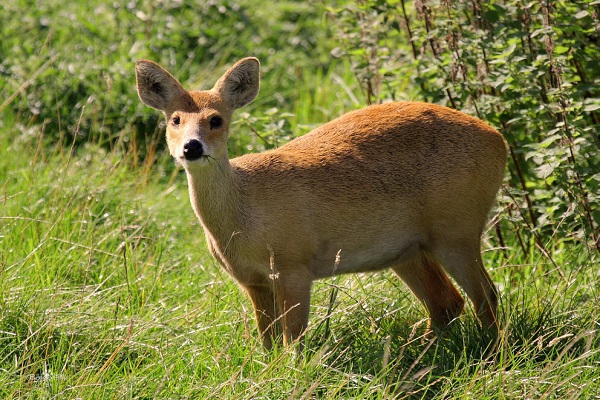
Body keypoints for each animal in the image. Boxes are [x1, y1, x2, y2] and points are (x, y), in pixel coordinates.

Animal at [136, 56, 506, 350]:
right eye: (174, 120)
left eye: (216, 119)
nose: (192, 147)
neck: (244, 215)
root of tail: (499, 139)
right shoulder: (252, 280)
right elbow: (268, 342)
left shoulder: (294, 265)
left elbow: (293, 340)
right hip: (407, 250)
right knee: (447, 302)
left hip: (457, 229)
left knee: (485, 295)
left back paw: (488, 353)